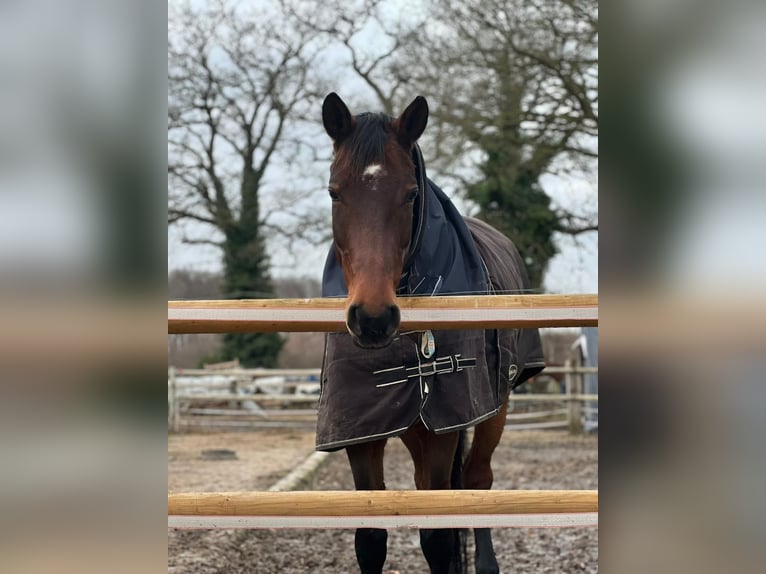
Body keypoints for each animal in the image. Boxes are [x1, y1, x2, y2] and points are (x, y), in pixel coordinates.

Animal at [317, 92, 545, 574]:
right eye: (334, 192)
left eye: (410, 194)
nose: (373, 318)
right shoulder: (361, 435)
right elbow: (371, 539)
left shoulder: (443, 432)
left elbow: (439, 538)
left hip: (492, 411)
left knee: (476, 482)